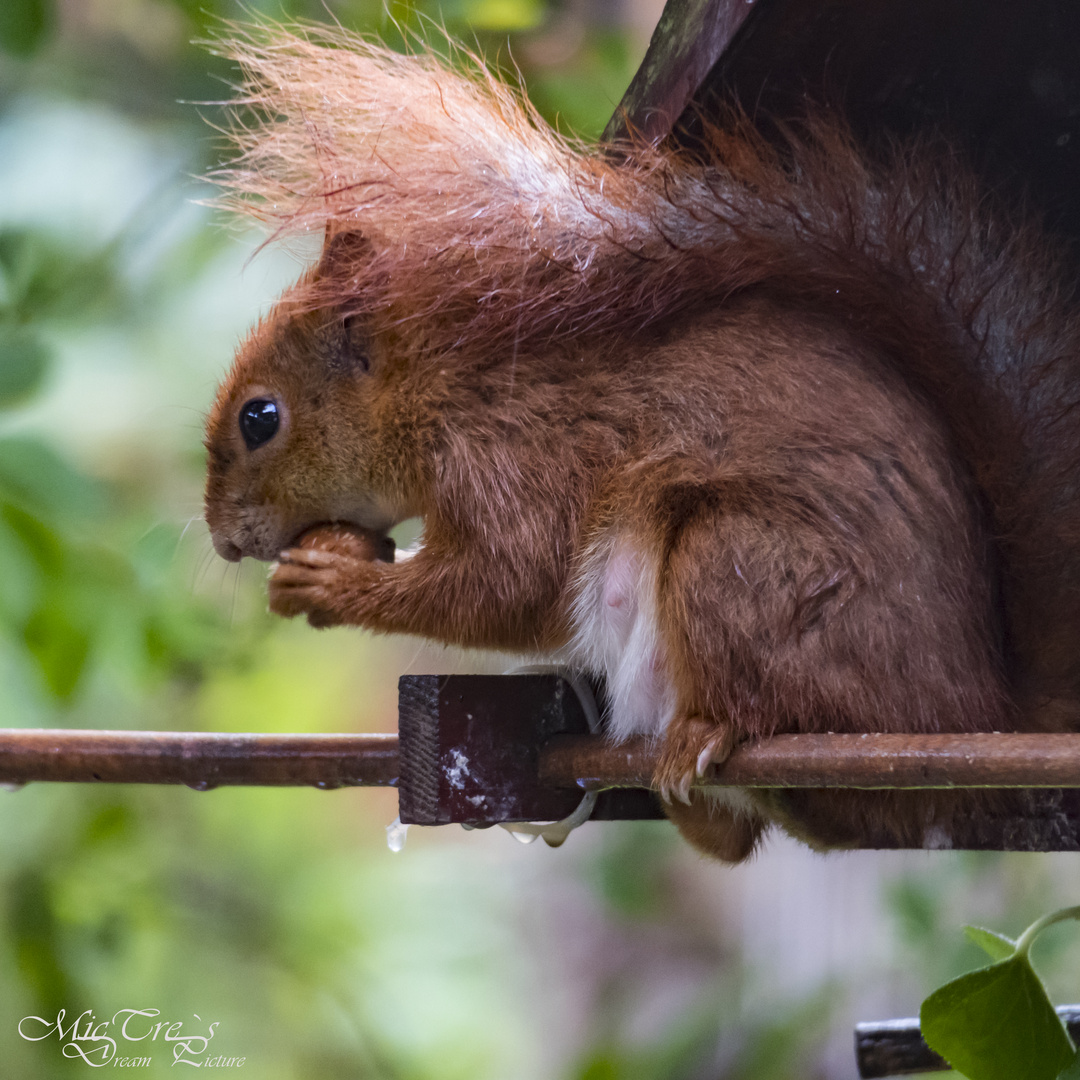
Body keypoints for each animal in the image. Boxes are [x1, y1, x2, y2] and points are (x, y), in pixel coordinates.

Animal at [200, 25, 1080, 859]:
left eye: (259, 418)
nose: (221, 540)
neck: (441, 387)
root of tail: (976, 709)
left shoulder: (512, 455)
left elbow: (510, 583)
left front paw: (329, 582)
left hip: (745, 567)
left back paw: (712, 732)